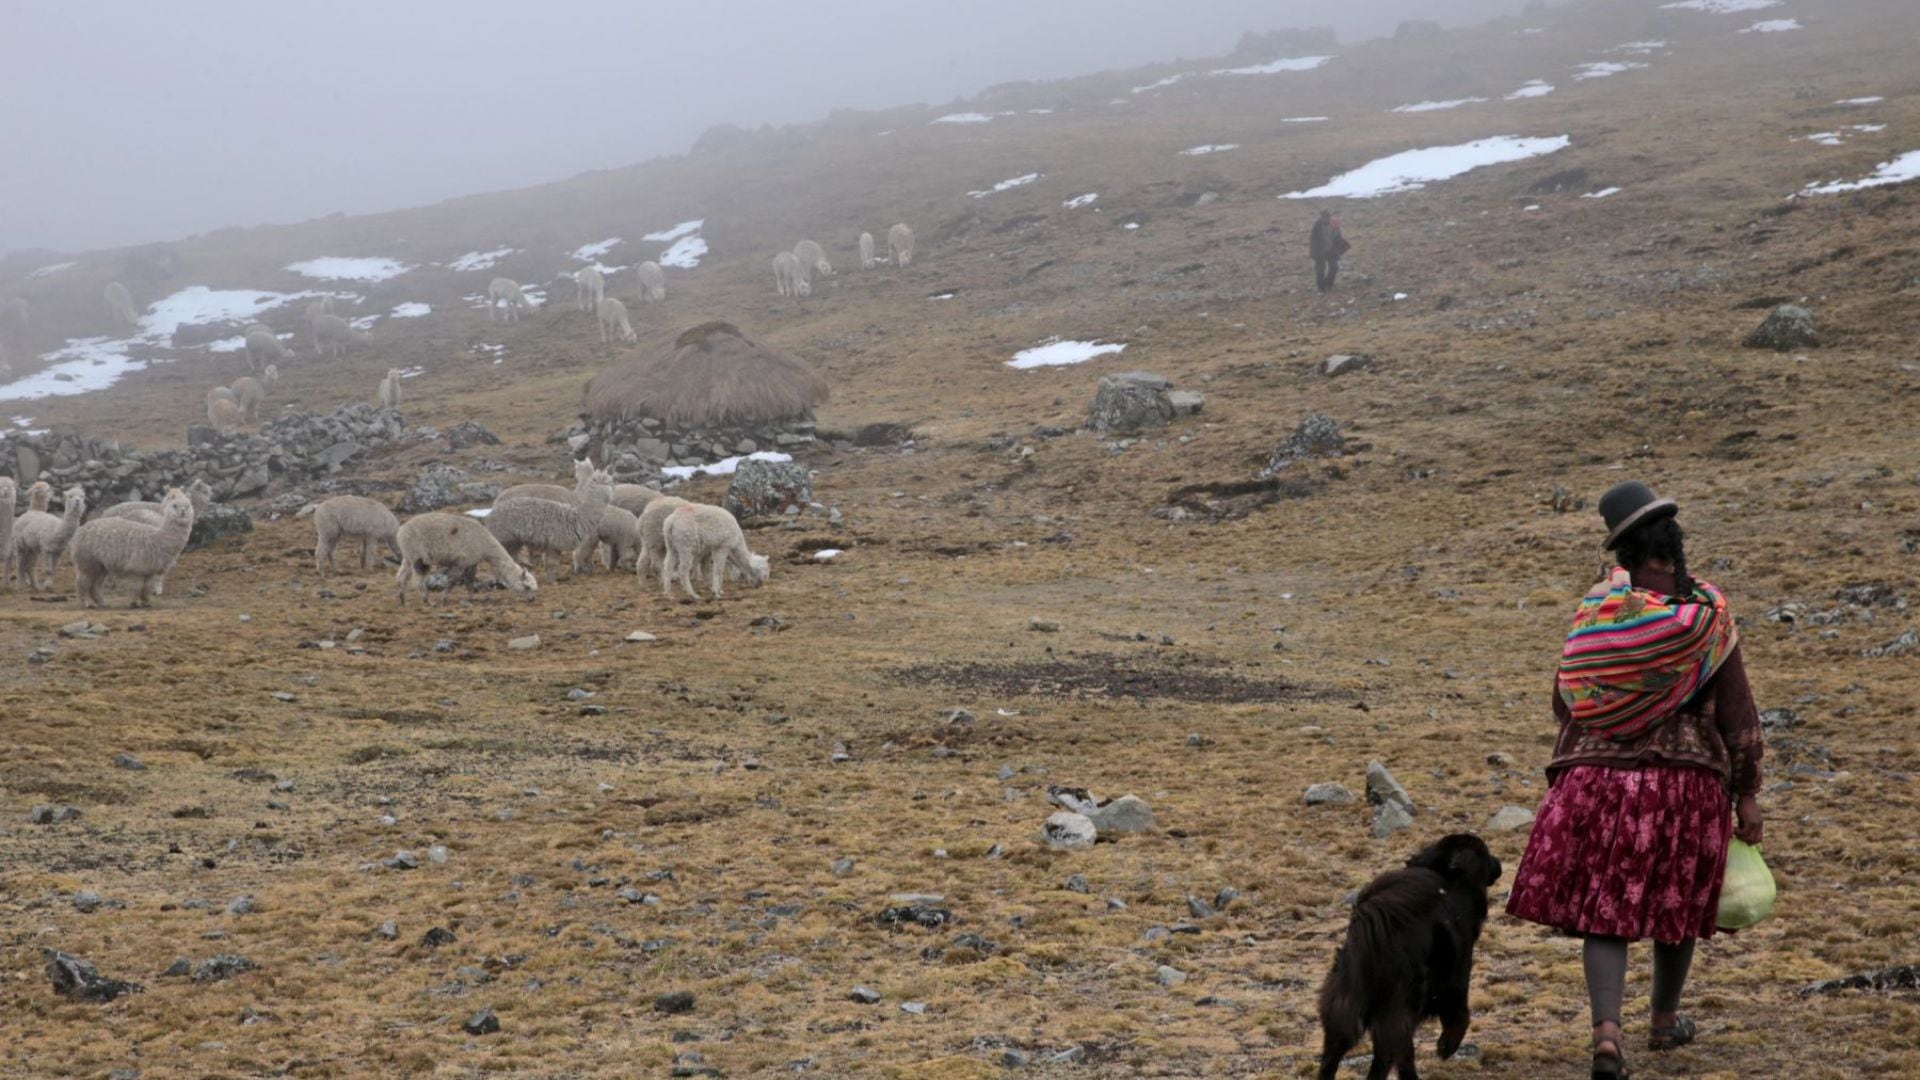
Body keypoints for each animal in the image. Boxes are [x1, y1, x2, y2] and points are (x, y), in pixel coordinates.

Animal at [1320, 826, 1497, 1068]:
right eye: (1486, 852)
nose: (1498, 865)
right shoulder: (1458, 972)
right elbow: (1458, 1015)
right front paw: (1446, 1047)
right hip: (1401, 1006)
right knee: (1390, 1055)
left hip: (1345, 1003)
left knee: (1338, 1055)